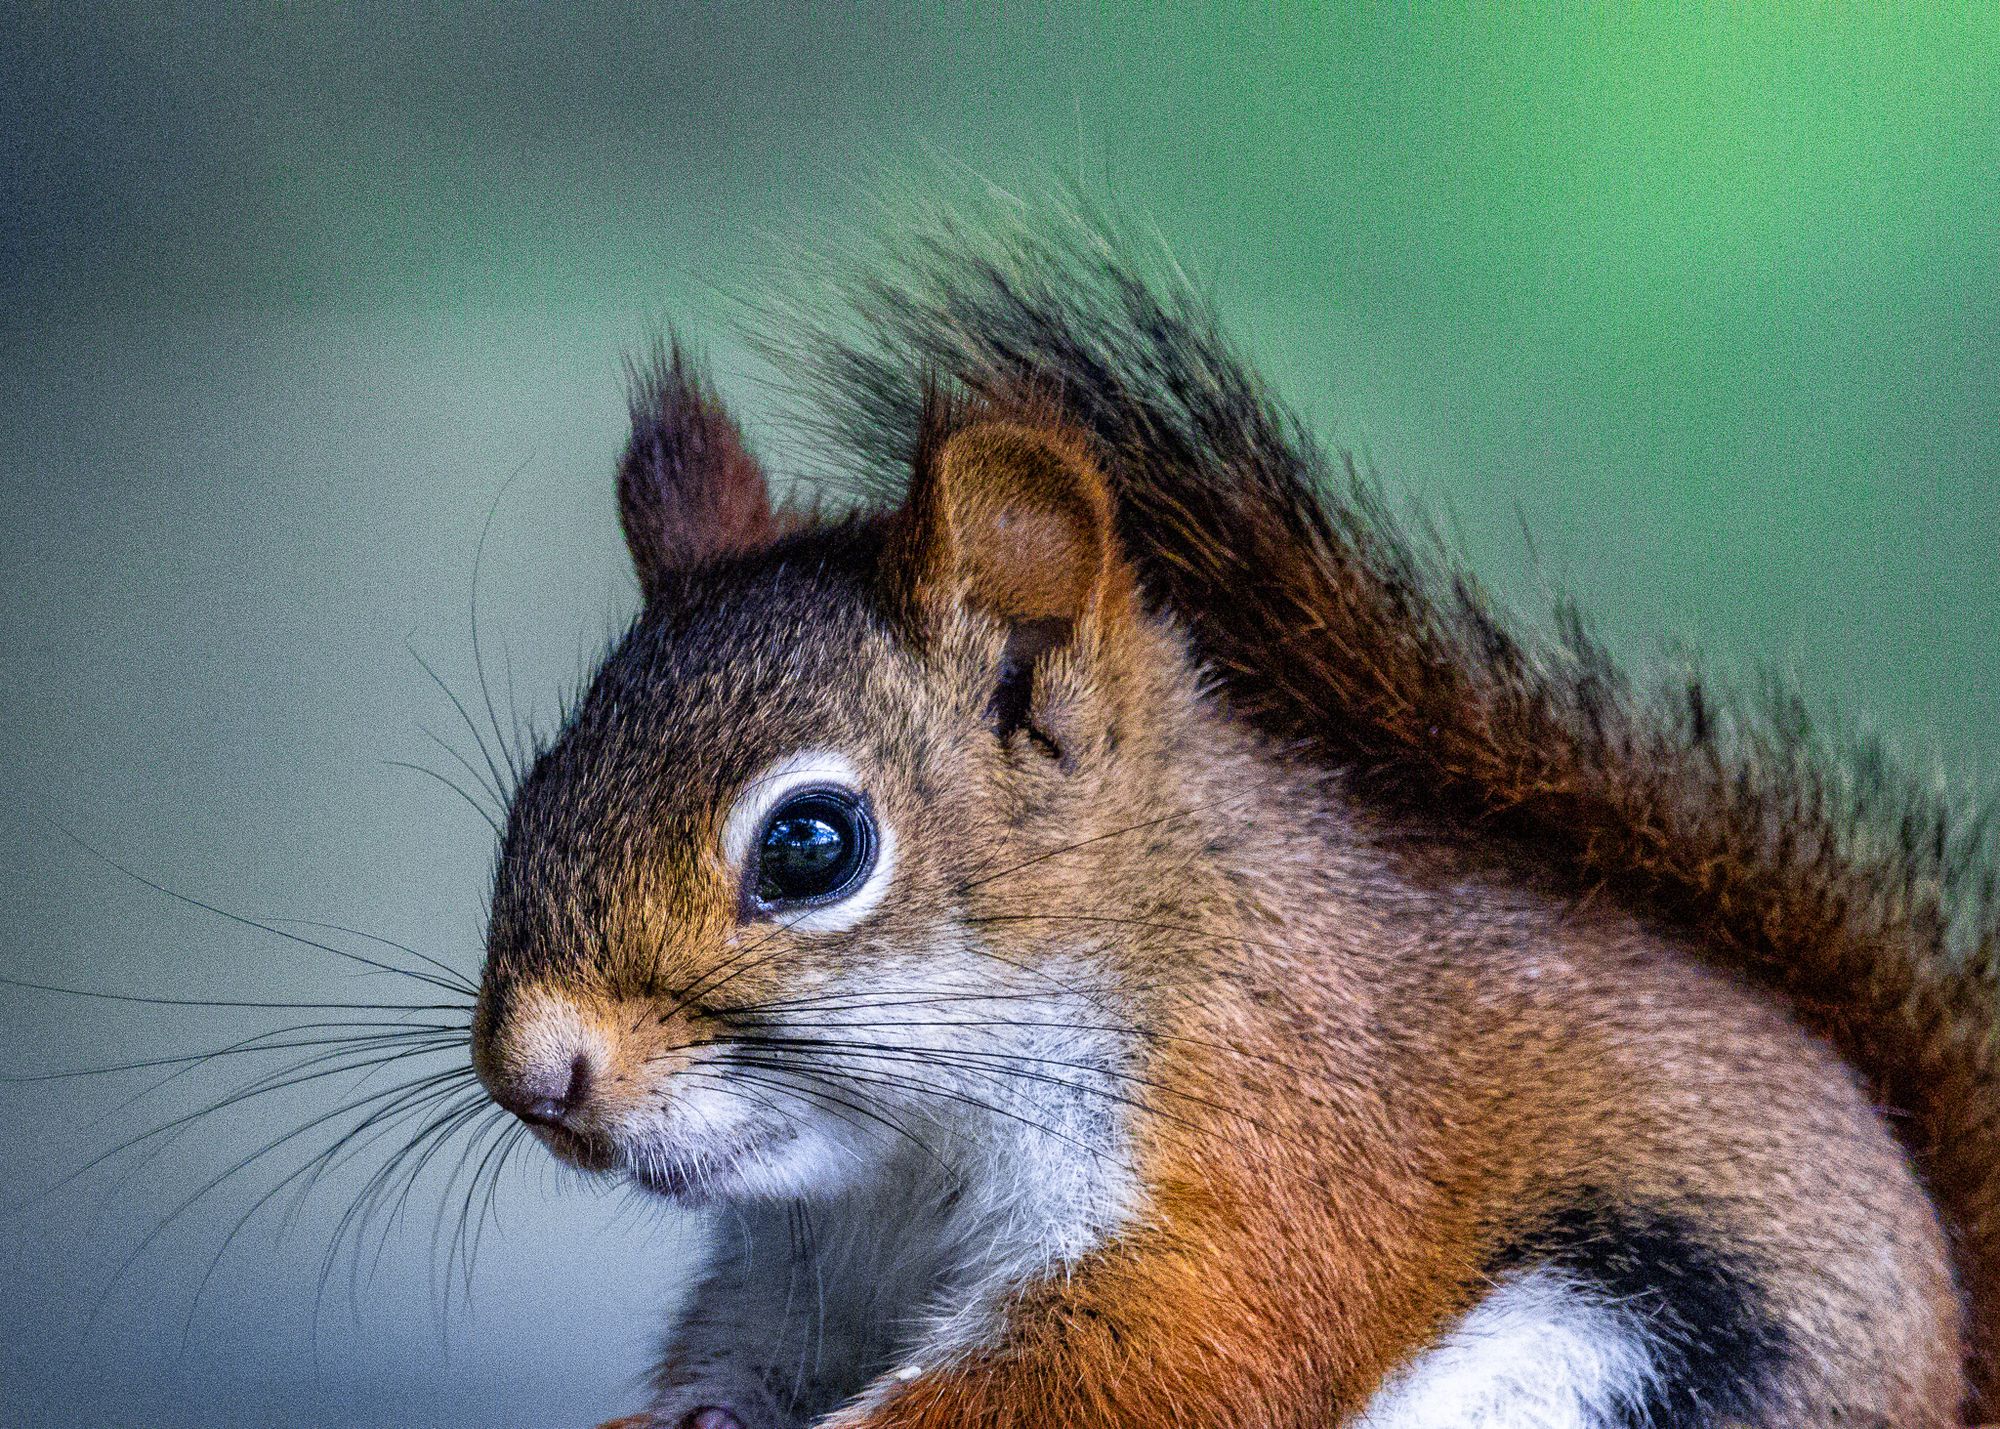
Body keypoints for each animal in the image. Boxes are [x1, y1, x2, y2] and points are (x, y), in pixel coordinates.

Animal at [468, 203, 2000, 1424]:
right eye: (537, 785)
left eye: (809, 846)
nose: (535, 1075)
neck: (896, 1160)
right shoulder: (791, 1276)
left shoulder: (1265, 1154)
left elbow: (1152, 1361)